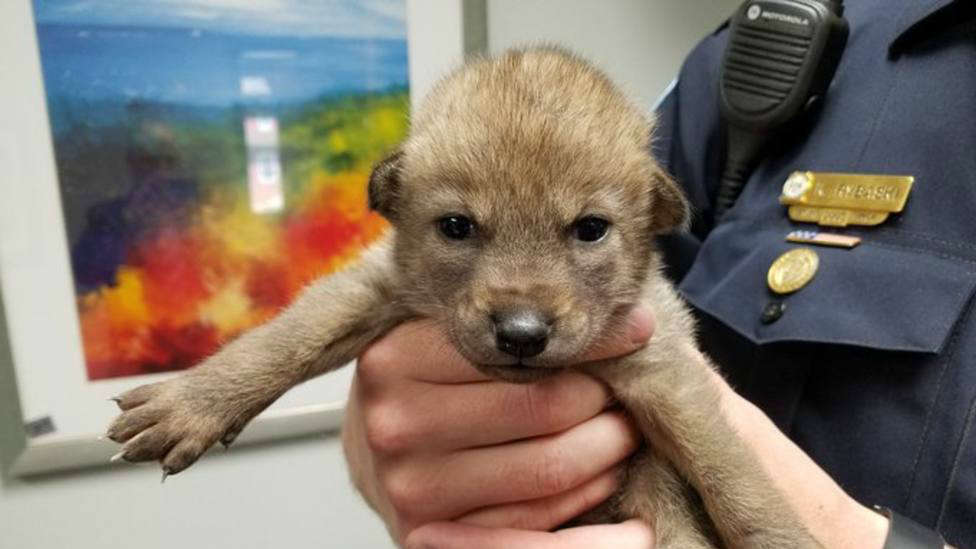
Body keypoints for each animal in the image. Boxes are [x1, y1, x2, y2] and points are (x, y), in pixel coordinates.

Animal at [108, 48, 816, 548]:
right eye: (456, 226)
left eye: (591, 228)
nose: (522, 333)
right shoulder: (378, 285)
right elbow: (287, 338)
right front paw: (193, 403)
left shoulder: (664, 372)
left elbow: (732, 474)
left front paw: (784, 537)